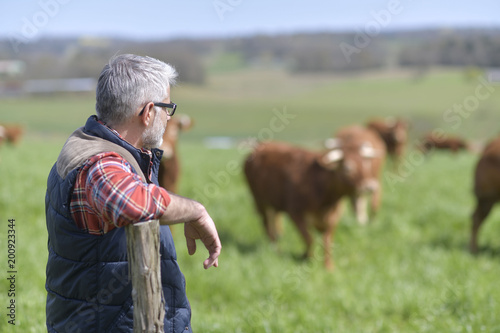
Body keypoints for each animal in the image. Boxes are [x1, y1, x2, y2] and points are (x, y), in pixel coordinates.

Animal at [242, 126, 386, 268]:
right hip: (258, 200)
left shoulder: (333, 218)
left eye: (367, 163)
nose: (371, 186)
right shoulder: (296, 213)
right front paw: (307, 258)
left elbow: (327, 242)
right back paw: (275, 249)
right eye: (347, 168)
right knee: (266, 224)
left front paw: (329, 267)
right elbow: (309, 238)